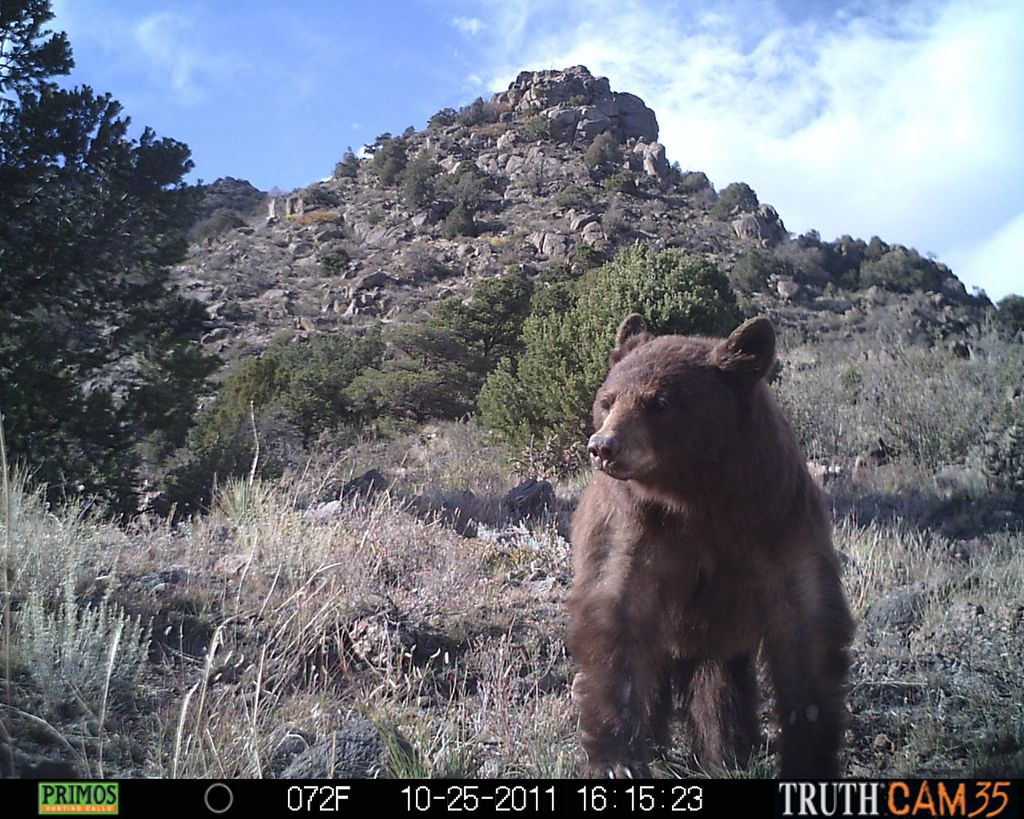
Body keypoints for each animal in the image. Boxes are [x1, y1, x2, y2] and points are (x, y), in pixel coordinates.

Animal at [573, 313, 851, 782]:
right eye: (607, 400)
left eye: (659, 402)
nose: (604, 447)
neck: (696, 495)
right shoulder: (632, 529)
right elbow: (615, 612)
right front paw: (617, 760)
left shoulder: (779, 520)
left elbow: (805, 623)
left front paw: (808, 751)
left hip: (718, 639)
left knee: (719, 690)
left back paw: (726, 754)